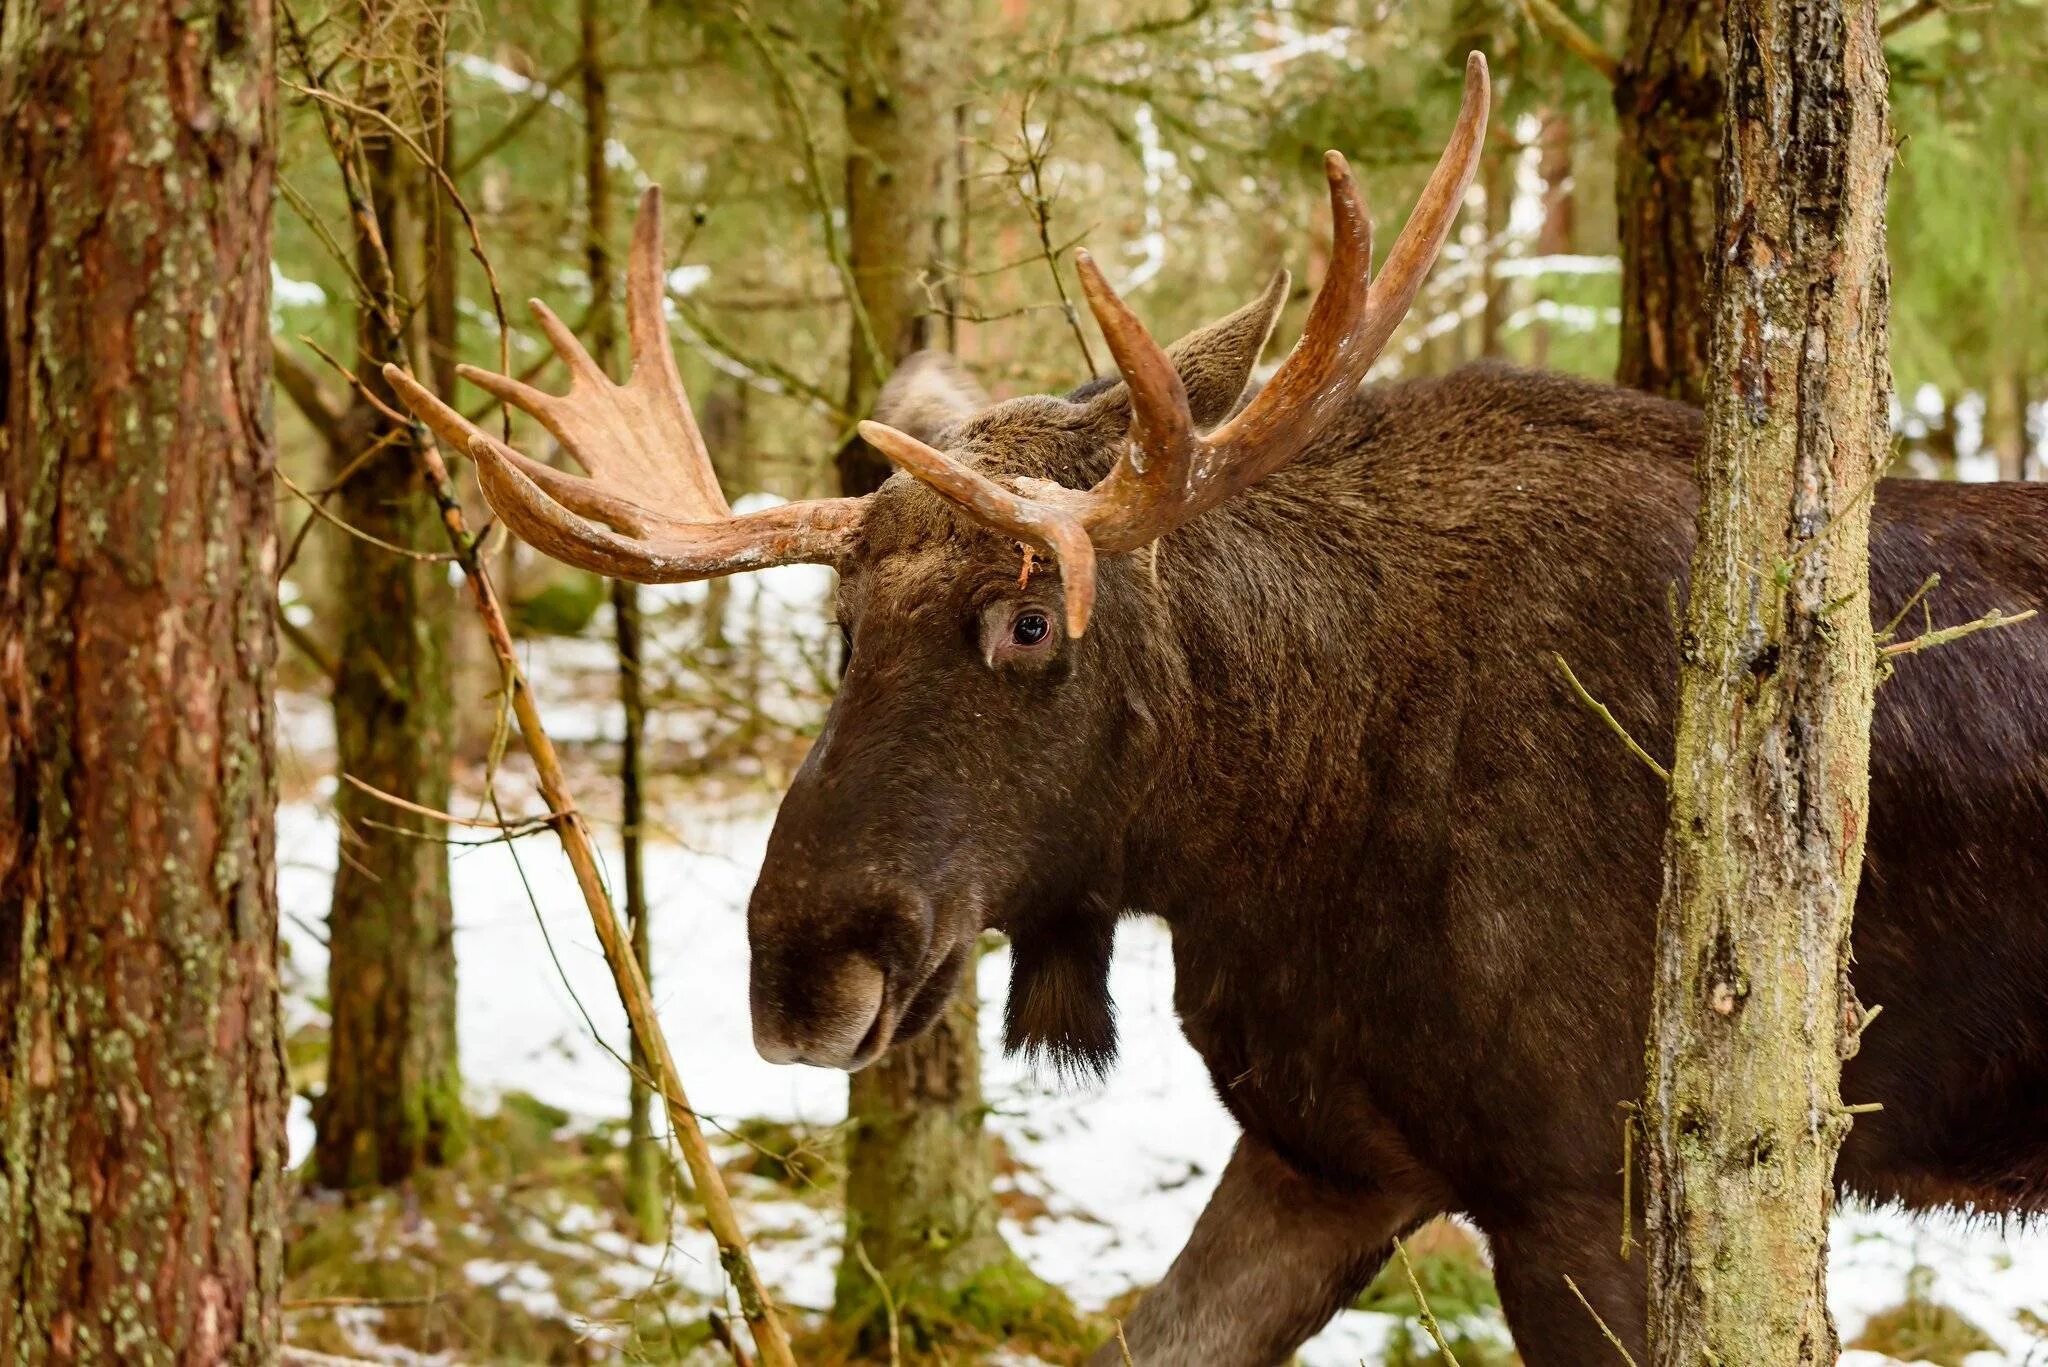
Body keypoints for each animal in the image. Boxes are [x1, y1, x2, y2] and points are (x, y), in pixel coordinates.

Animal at [387, 50, 2048, 1367]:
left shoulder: (1592, 1186)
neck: (1276, 832)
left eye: (1031, 619)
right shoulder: (1328, 1153)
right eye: (841, 629)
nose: (805, 969)